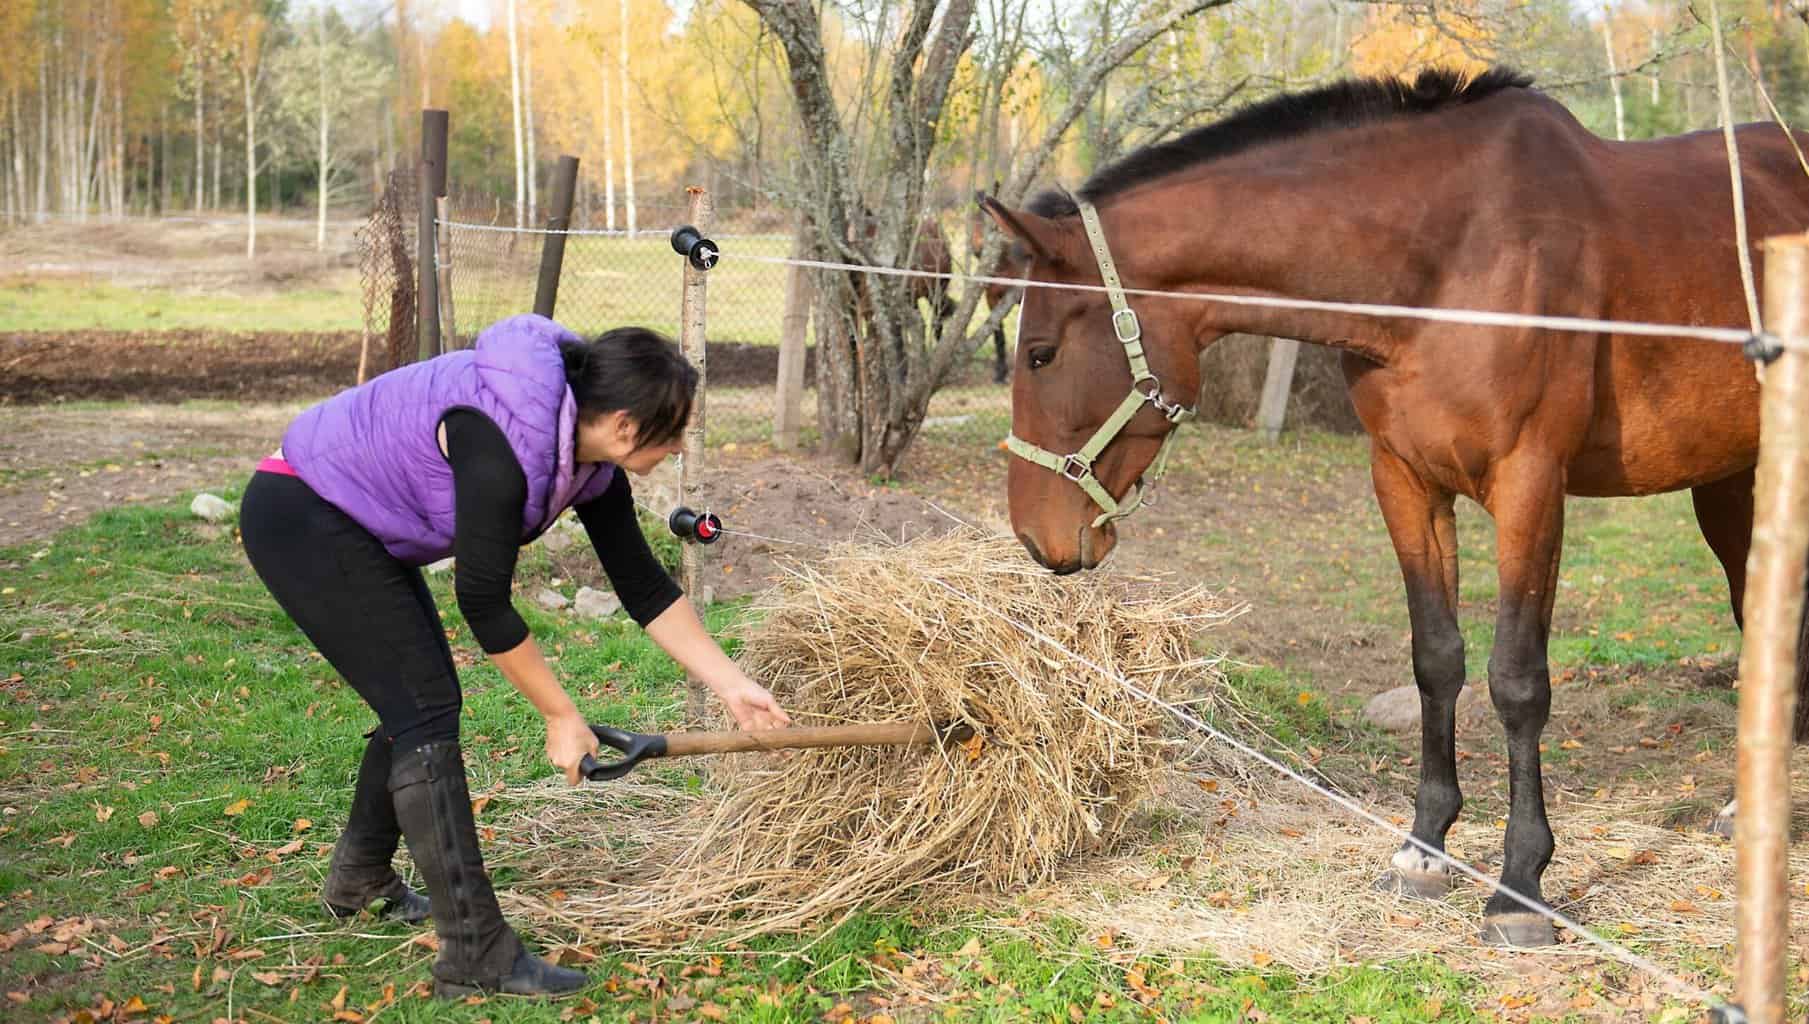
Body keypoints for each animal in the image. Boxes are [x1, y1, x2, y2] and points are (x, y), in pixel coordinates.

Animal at [984, 68, 1809, 948]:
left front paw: (1519, 885)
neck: (1447, 264)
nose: (1037, 537)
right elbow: (1434, 660)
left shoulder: (1528, 485)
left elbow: (1517, 680)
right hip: (1730, 482)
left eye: (1040, 354)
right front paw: (1423, 849)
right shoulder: (1405, 481)